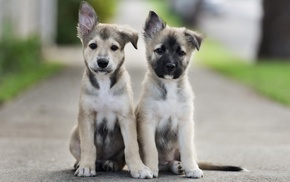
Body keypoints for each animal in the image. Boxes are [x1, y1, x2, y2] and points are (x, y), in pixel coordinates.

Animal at [69, 1, 153, 179]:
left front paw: (139, 168)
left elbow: (131, 147)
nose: (102, 62)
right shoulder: (86, 116)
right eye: (93, 45)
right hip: (74, 133)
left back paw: (111, 163)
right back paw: (82, 163)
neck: (104, 84)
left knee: (120, 158)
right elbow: (88, 145)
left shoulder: (126, 117)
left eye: (114, 47)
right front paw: (86, 166)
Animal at [135, 11, 244, 178]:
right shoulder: (148, 122)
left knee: (175, 160)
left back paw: (178, 166)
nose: (170, 66)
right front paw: (151, 169)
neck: (169, 87)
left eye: (181, 53)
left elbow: (187, 150)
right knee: (163, 164)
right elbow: (151, 149)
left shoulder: (185, 123)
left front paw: (192, 169)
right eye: (159, 50)